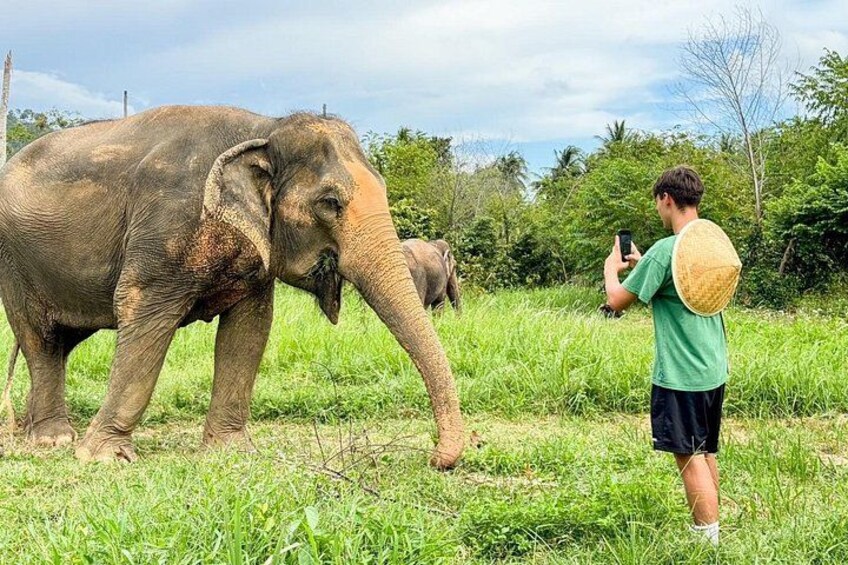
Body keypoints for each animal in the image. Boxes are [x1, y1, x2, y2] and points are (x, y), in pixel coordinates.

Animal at [0, 105, 465, 468]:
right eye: (330, 203)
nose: (435, 457)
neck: (265, 127)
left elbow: (249, 329)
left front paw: (231, 452)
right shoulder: (164, 229)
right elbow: (141, 311)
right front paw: (104, 457)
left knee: (61, 343)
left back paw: (35, 430)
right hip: (14, 264)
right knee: (42, 340)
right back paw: (54, 439)